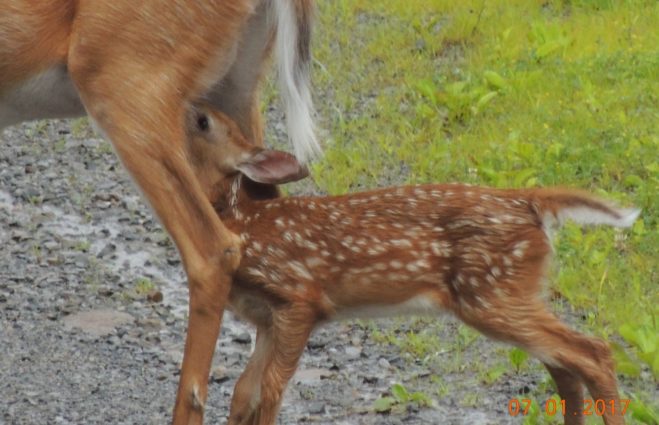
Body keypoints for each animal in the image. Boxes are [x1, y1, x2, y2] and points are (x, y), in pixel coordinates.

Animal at [183, 103, 636, 424]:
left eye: (203, 121)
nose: (187, 103)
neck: (240, 226)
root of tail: (530, 203)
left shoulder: (298, 296)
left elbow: (272, 388)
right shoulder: (265, 319)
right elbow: (244, 391)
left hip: (491, 291)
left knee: (592, 352)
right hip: (512, 290)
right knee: (565, 366)